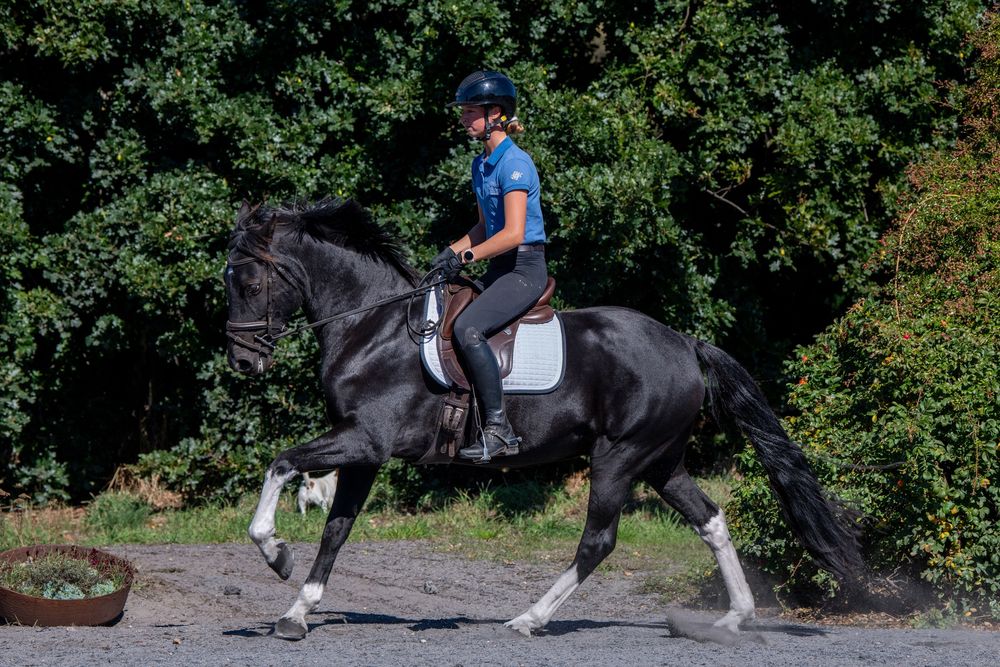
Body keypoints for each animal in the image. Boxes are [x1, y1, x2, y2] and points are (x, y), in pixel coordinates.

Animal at [224, 198, 863, 641]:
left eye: (249, 282)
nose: (242, 361)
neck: (372, 328)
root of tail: (685, 343)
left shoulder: (364, 440)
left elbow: (282, 464)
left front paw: (275, 554)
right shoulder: (365, 452)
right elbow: (337, 528)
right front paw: (297, 610)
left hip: (618, 457)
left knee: (598, 541)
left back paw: (529, 618)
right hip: (661, 461)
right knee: (710, 519)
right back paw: (734, 618)